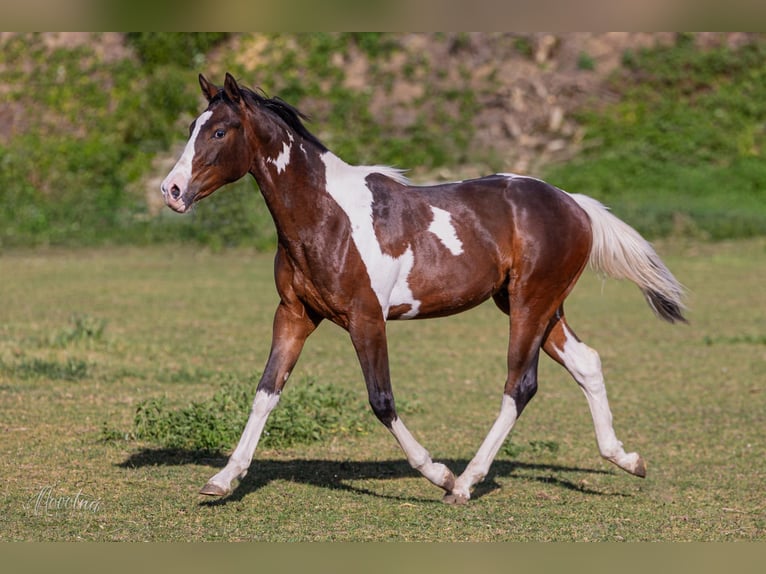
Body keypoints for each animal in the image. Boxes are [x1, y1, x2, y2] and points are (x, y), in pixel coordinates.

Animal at [160, 73, 686, 504]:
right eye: (190, 127)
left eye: (219, 131)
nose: (171, 190)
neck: (324, 217)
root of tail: (574, 204)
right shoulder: (294, 314)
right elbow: (266, 392)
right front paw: (222, 480)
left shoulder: (366, 318)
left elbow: (382, 400)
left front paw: (439, 474)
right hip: (535, 305)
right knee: (586, 363)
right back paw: (627, 459)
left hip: (530, 305)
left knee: (520, 385)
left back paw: (467, 483)